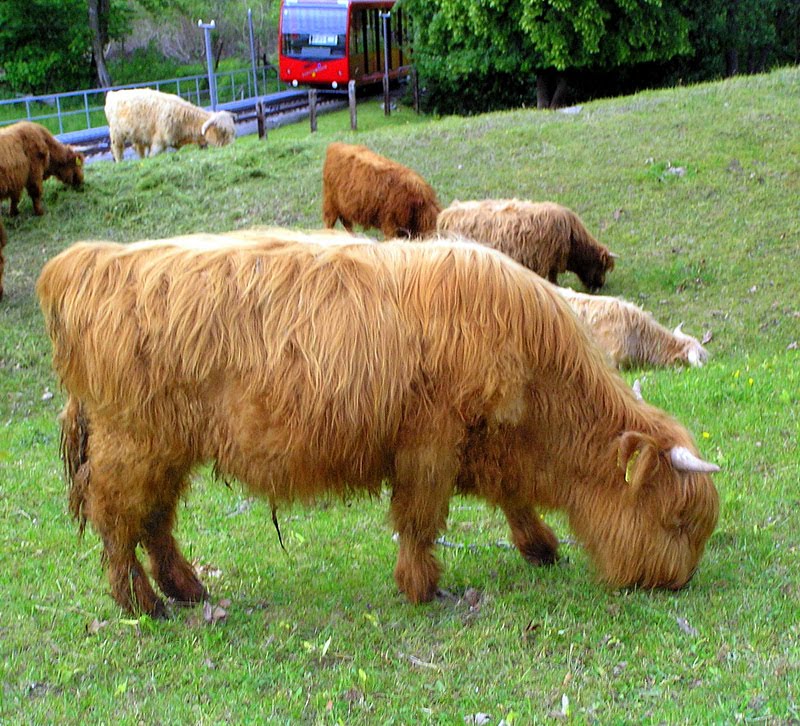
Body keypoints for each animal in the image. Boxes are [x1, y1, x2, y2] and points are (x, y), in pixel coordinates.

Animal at [104, 88, 234, 161]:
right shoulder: (159, 142)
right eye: (223, 132)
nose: (232, 146)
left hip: (138, 135)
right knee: (117, 149)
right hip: (116, 133)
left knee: (138, 149)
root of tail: (112, 94)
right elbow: (152, 155)